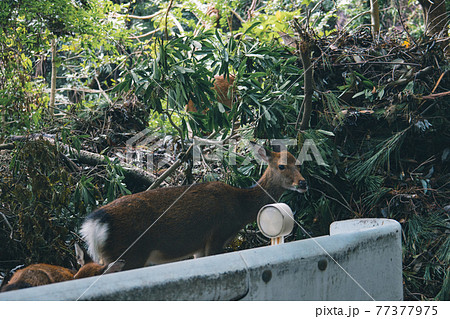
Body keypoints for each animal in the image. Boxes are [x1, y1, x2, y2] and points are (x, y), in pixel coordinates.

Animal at [80, 144, 306, 272]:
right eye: (281, 166)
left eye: (299, 164)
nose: (303, 183)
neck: (240, 206)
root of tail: (94, 225)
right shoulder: (217, 235)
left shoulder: (199, 246)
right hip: (130, 254)